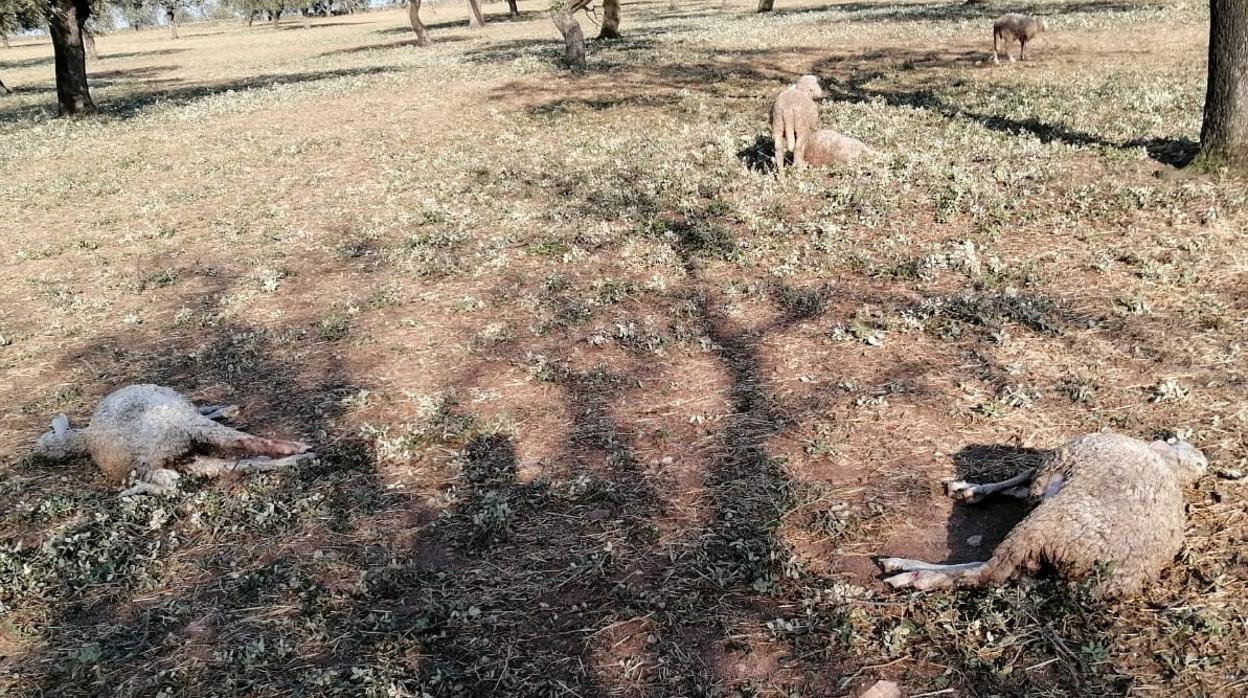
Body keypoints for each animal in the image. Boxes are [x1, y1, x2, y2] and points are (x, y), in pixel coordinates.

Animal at [878, 432, 1208, 601]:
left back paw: (912, 572)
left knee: (988, 572)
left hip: (1045, 526)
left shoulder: (1057, 461)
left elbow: (1022, 476)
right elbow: (1018, 485)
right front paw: (970, 490)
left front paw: (970, 489)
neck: (1170, 465)